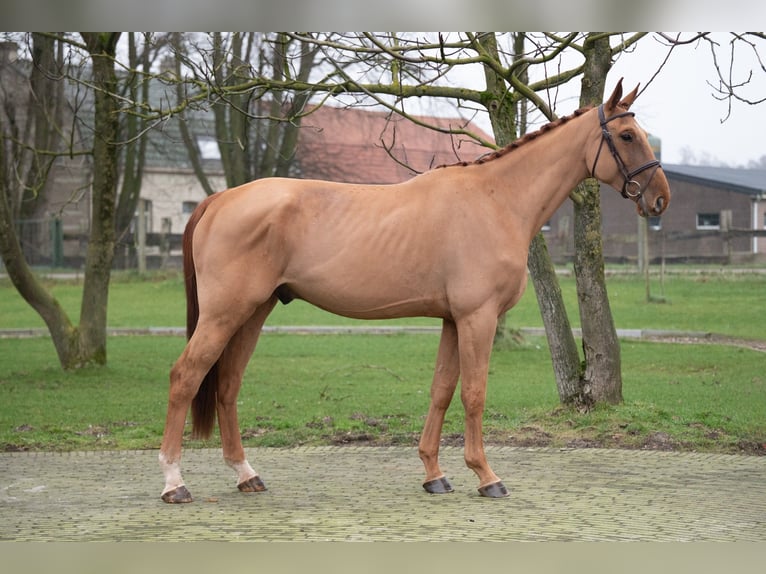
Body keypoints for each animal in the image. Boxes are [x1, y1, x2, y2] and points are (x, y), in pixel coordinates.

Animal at [160, 80, 672, 504]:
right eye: (627, 136)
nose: (660, 198)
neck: (496, 199)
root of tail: (219, 199)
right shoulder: (477, 317)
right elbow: (474, 393)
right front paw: (486, 476)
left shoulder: (452, 319)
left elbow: (441, 391)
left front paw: (435, 475)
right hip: (225, 313)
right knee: (186, 376)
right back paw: (174, 483)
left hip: (253, 312)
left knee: (227, 384)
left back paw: (246, 475)